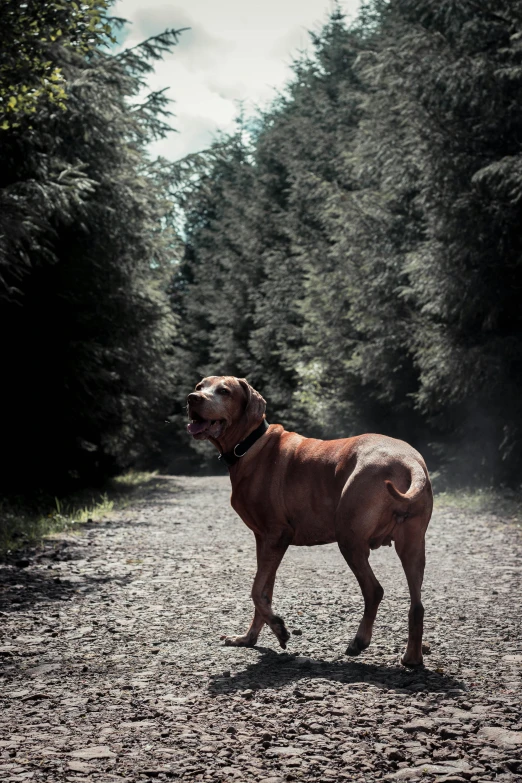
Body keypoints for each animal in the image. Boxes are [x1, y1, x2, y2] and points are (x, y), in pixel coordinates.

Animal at [187, 376, 430, 668]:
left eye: (224, 391)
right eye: (199, 386)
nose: (192, 399)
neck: (248, 445)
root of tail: (408, 460)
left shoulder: (277, 535)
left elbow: (256, 591)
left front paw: (280, 628)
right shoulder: (264, 541)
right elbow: (264, 591)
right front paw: (249, 638)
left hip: (349, 539)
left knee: (374, 590)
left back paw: (359, 642)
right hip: (412, 545)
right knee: (417, 605)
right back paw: (412, 657)